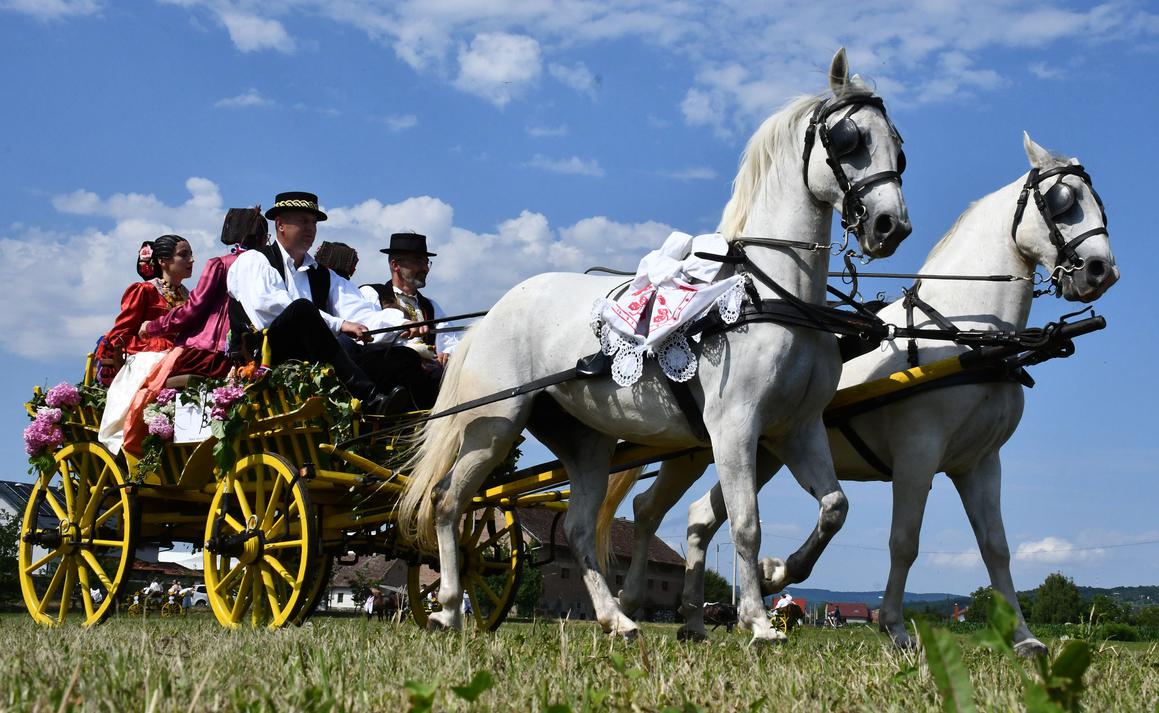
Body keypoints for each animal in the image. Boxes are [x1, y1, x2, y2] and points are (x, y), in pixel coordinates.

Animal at [398, 47, 913, 644]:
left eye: (898, 146)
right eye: (848, 138)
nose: (891, 226)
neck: (772, 293)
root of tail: (494, 313)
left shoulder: (797, 428)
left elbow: (835, 507)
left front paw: (780, 572)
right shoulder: (735, 426)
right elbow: (746, 523)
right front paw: (759, 621)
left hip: (586, 442)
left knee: (578, 528)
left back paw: (616, 617)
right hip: (495, 424)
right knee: (448, 501)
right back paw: (450, 607)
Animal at [602, 131, 1117, 653]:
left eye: (1099, 203)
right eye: (1062, 201)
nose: (1101, 270)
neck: (964, 338)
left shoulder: (979, 463)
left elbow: (996, 548)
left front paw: (1024, 638)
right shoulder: (918, 454)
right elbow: (904, 541)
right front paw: (894, 626)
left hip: (758, 452)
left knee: (698, 517)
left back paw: (693, 619)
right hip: (696, 447)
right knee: (649, 509)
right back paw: (632, 604)